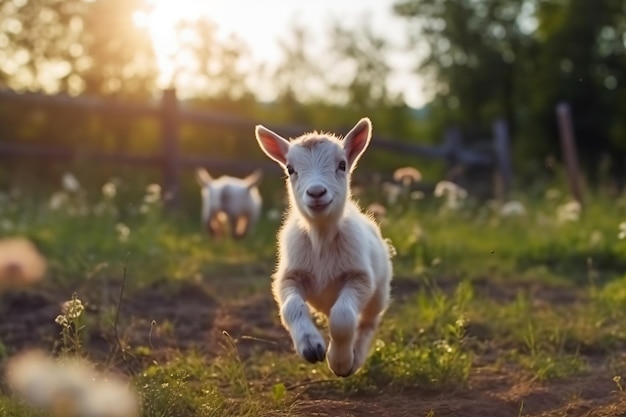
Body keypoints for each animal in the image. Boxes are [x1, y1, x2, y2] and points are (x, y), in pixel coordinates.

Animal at [252, 117, 390, 376]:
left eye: (342, 165)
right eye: (290, 169)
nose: (316, 192)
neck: (322, 237)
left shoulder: (360, 277)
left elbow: (343, 317)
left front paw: (340, 362)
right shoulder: (289, 277)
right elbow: (291, 308)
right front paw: (311, 346)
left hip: (379, 292)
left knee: (367, 322)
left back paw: (356, 356)